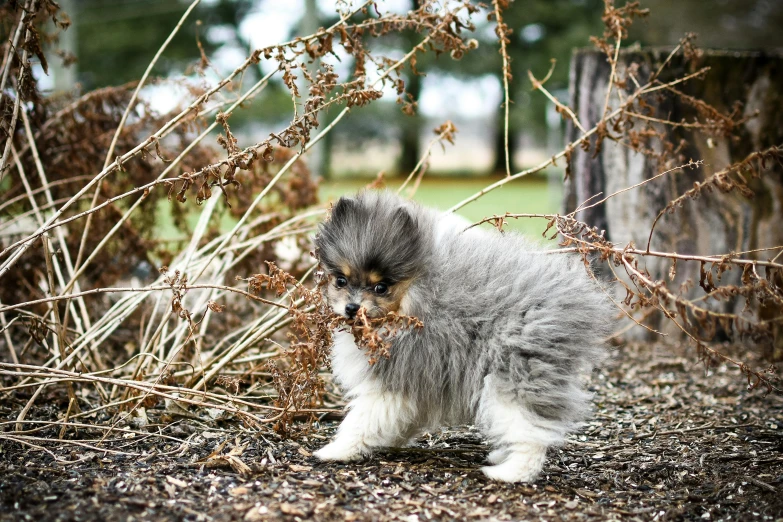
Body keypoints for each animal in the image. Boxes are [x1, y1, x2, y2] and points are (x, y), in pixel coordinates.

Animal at [312, 190, 612, 480]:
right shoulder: (418, 381)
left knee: (529, 432)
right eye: (341, 281)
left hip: (513, 375)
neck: (414, 297)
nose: (352, 308)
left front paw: (336, 450)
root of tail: (573, 303)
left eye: (381, 287)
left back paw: (510, 473)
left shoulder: (394, 378)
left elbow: (362, 419)